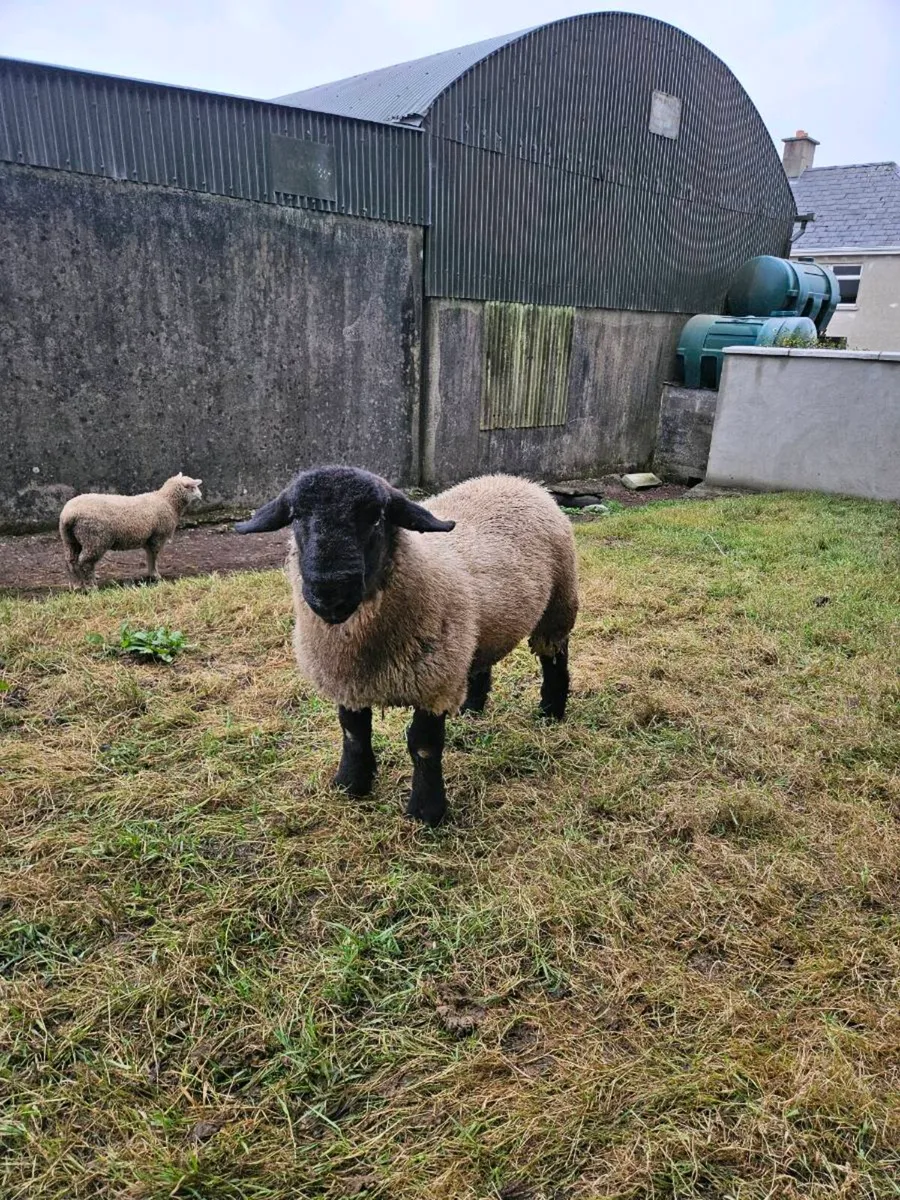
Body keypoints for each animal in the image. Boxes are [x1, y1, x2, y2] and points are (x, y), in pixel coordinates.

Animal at [58, 473, 202, 588]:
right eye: (193, 487)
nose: (201, 496)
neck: (167, 501)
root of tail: (69, 515)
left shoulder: (149, 538)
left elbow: (149, 555)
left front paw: (151, 573)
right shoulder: (158, 536)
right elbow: (154, 556)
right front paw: (155, 574)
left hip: (71, 539)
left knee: (71, 561)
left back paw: (77, 584)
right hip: (94, 538)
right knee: (85, 562)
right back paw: (90, 585)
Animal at [235, 466, 578, 826]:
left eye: (376, 517)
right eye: (297, 517)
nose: (329, 593)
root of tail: (517, 481)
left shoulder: (434, 684)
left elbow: (423, 746)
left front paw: (427, 811)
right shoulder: (348, 680)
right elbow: (354, 732)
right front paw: (351, 783)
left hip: (558, 604)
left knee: (554, 657)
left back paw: (551, 711)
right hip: (477, 629)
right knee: (480, 660)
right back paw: (472, 707)